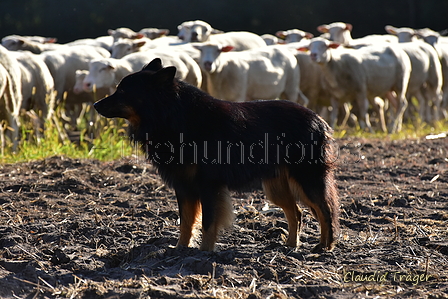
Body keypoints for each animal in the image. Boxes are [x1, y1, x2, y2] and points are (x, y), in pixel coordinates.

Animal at [94, 58, 340, 253]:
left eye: (123, 92)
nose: (95, 105)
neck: (174, 115)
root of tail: (319, 119)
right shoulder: (184, 186)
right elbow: (186, 222)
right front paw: (181, 249)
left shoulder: (208, 185)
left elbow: (207, 223)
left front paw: (204, 252)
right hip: (276, 187)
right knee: (296, 212)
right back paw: (290, 245)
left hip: (307, 179)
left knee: (326, 210)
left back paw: (325, 247)